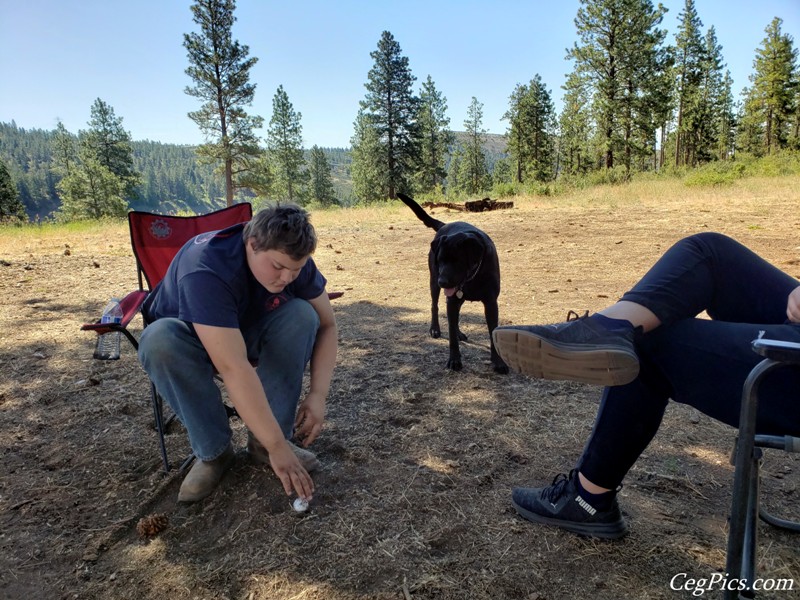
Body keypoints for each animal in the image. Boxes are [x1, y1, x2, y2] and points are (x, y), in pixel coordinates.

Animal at [398, 192, 506, 372]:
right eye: (440, 260)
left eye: (458, 261)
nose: (442, 281)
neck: (473, 277)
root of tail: (444, 225)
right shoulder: (452, 299)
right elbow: (451, 335)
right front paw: (454, 360)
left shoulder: (490, 303)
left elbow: (492, 331)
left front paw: (498, 362)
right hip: (434, 283)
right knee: (435, 306)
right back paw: (435, 329)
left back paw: (459, 332)